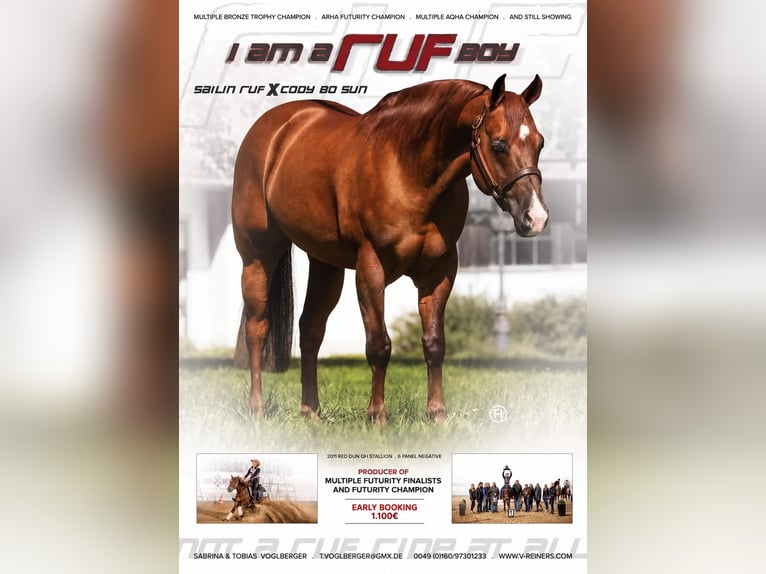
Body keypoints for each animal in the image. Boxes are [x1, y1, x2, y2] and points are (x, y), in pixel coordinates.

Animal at [232, 74, 547, 423]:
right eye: (498, 145)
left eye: (540, 143)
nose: (536, 217)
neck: (408, 170)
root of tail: (276, 126)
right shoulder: (371, 268)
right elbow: (378, 344)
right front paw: (376, 415)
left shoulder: (439, 272)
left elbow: (435, 343)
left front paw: (436, 413)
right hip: (257, 256)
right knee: (257, 328)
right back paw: (256, 407)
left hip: (326, 264)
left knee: (311, 328)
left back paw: (310, 410)